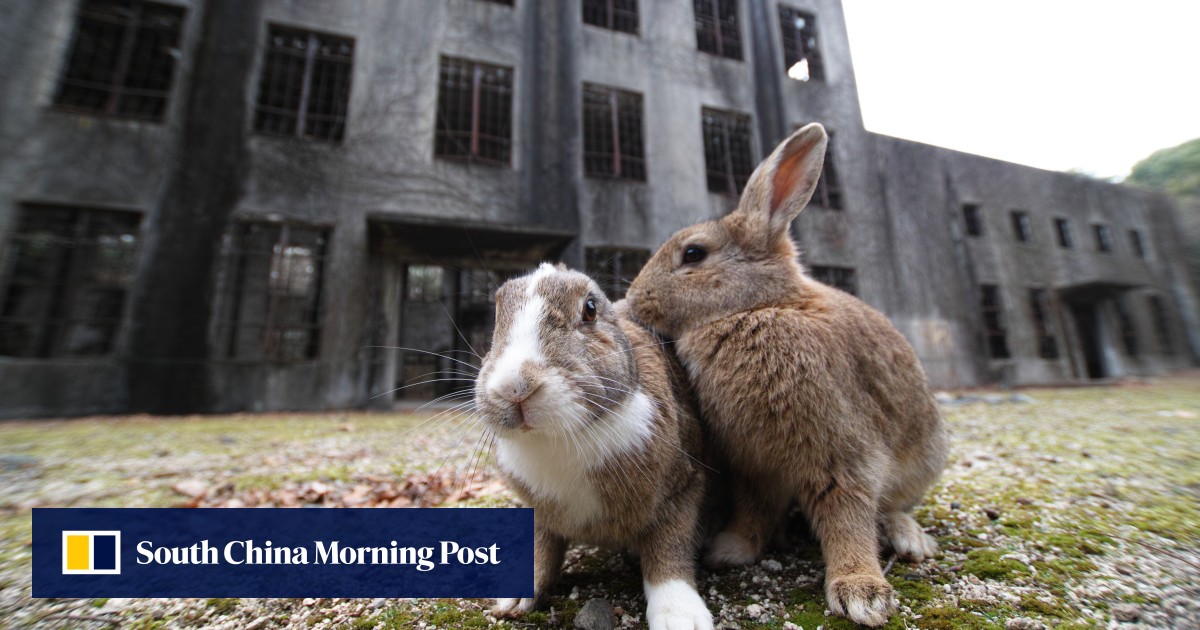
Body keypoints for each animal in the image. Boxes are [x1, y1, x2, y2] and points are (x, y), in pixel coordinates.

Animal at [475, 263, 714, 630]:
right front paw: (515, 601)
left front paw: (681, 617)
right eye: (498, 314)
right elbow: (541, 548)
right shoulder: (541, 513)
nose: (514, 388)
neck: (562, 436)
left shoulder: (682, 490)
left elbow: (668, 552)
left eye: (590, 309)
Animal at [624, 123, 948, 627]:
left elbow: (847, 516)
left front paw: (862, 594)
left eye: (693, 253)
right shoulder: (755, 463)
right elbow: (755, 508)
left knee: (892, 505)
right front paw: (730, 550)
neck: (756, 307)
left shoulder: (841, 452)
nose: (634, 299)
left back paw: (909, 538)